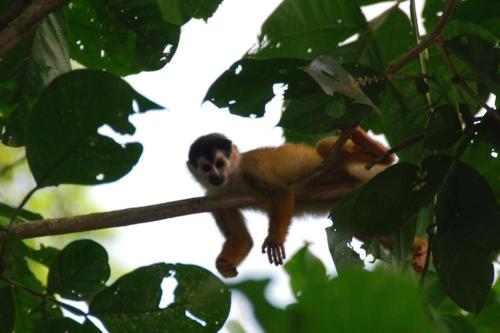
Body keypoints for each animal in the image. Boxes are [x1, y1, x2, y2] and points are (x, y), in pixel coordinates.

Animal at [189, 126, 424, 276]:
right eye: (207, 168)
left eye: (220, 163)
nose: (216, 176)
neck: (232, 180)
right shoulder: (214, 198)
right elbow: (242, 238)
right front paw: (224, 265)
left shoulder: (251, 169)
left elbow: (282, 193)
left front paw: (274, 240)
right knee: (362, 226)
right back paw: (420, 249)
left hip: (368, 170)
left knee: (325, 146)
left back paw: (377, 150)